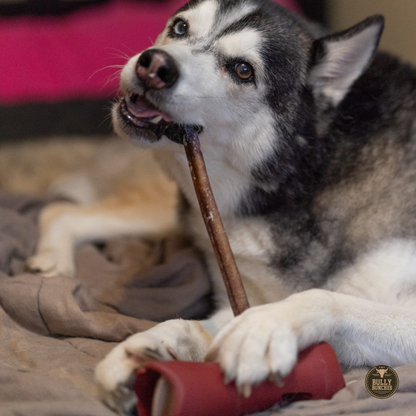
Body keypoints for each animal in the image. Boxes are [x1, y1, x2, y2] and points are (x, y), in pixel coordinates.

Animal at [25, 0, 416, 412]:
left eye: (243, 70)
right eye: (180, 28)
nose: (154, 64)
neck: (303, 176)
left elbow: (326, 299)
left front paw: (266, 327)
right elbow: (195, 325)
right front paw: (141, 351)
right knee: (60, 210)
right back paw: (53, 260)